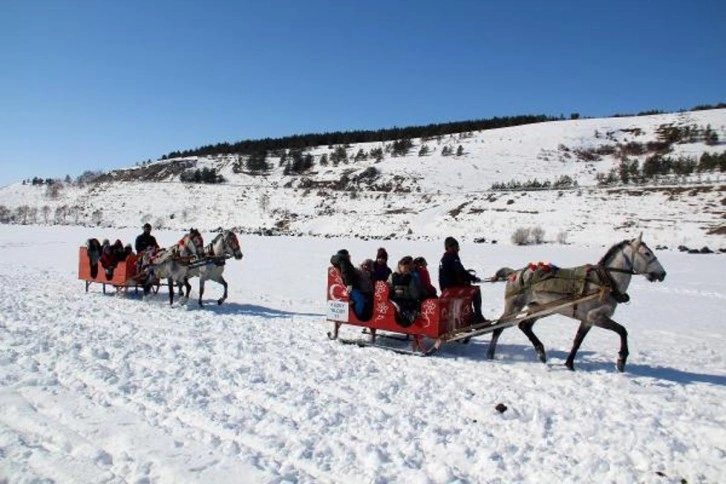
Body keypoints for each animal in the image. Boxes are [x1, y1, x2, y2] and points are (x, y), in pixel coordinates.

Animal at [492, 234, 668, 374]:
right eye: (647, 253)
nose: (663, 273)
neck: (605, 282)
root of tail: (514, 273)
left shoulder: (587, 320)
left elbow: (578, 340)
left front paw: (569, 364)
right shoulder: (596, 317)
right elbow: (622, 331)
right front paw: (621, 360)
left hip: (541, 308)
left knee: (524, 325)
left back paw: (541, 352)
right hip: (514, 306)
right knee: (499, 327)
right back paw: (490, 354)